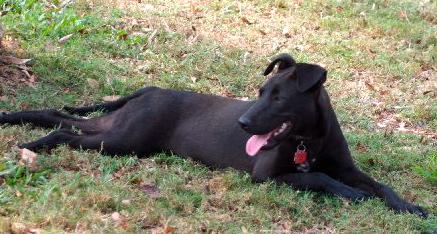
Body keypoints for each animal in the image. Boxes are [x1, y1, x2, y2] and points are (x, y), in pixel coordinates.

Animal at [0, 53, 426, 218]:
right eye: (260, 92)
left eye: (278, 97)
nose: (243, 124)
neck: (311, 139)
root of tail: (149, 90)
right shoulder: (266, 177)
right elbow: (321, 177)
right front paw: (353, 196)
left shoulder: (347, 167)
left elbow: (382, 185)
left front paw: (411, 208)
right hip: (126, 141)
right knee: (63, 132)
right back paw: (32, 144)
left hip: (119, 129)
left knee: (57, 117)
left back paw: (15, 123)